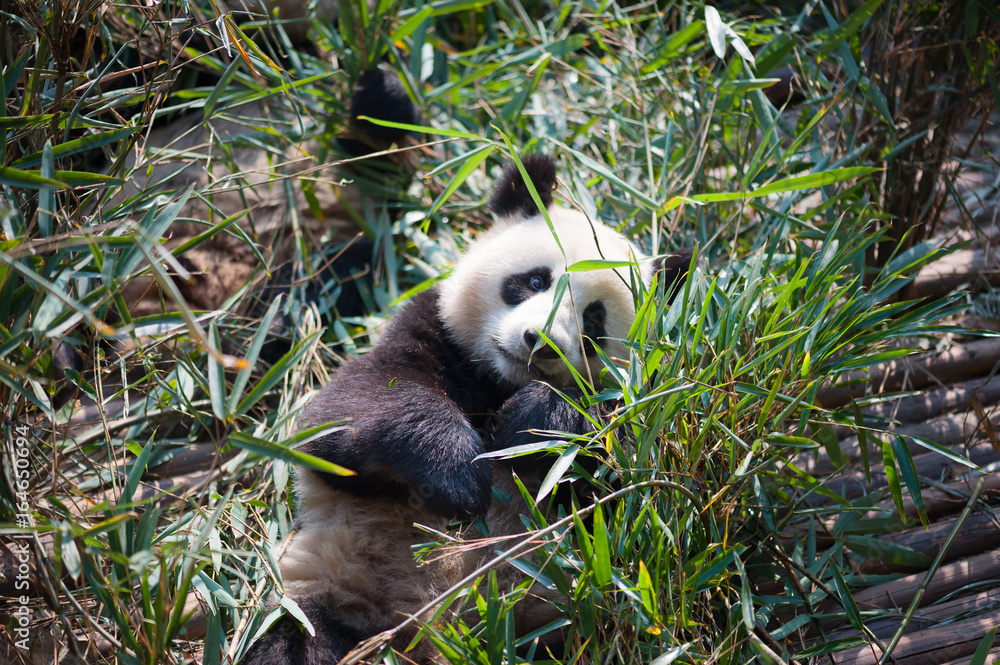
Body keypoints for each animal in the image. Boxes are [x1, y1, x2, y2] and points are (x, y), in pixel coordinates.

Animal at [240, 154, 692, 664]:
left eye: (594, 319)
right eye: (535, 280)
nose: (540, 343)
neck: (498, 380)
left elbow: (627, 460)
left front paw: (529, 426)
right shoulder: (431, 330)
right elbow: (347, 413)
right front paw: (459, 478)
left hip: (551, 627)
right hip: (333, 584)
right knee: (296, 638)